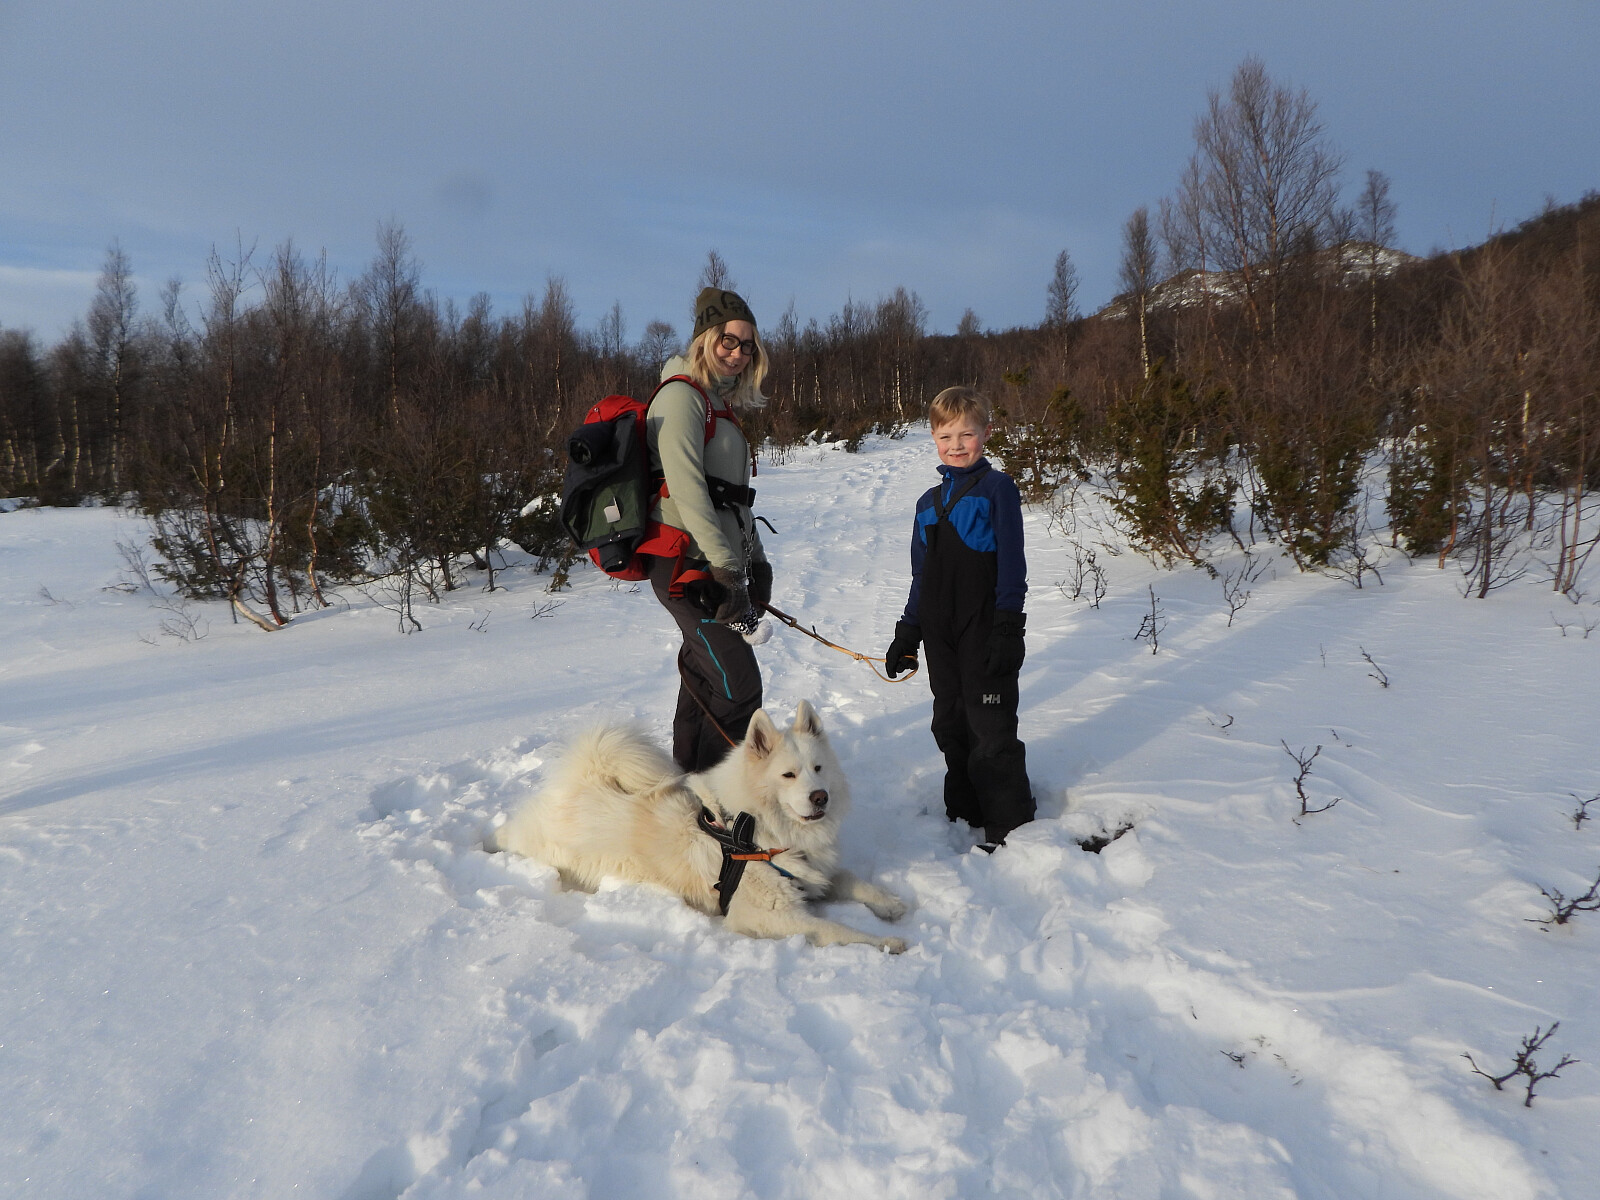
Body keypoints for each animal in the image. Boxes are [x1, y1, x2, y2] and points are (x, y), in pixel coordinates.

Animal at [488, 701, 908, 952]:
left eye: (818, 768)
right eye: (789, 775)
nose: (820, 797)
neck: (751, 830)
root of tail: (584, 779)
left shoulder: (813, 872)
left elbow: (851, 879)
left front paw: (892, 903)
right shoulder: (772, 916)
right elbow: (839, 932)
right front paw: (888, 941)